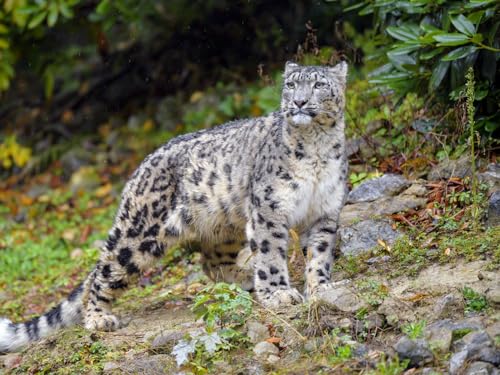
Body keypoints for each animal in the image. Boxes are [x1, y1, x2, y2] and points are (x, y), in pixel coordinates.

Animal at [0, 61, 348, 352]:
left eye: (319, 84)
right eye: (290, 84)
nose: (298, 102)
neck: (316, 147)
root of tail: (139, 168)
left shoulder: (325, 210)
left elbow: (319, 252)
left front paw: (321, 287)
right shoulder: (269, 208)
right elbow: (271, 253)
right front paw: (278, 293)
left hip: (224, 224)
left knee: (210, 261)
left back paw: (244, 276)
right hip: (140, 235)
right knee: (103, 271)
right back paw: (99, 318)